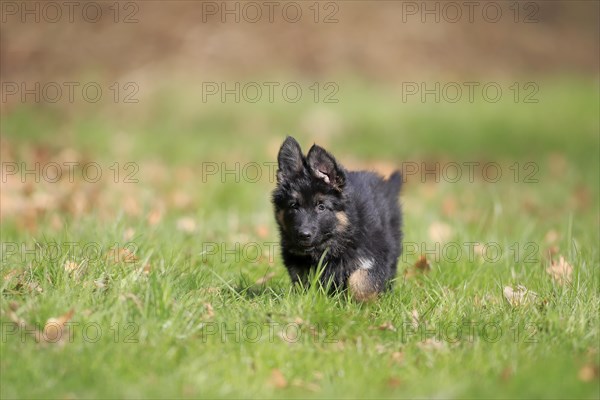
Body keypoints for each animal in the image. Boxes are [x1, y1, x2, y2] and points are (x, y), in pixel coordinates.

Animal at [274, 137, 404, 300]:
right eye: (294, 205)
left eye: (321, 207)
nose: (303, 235)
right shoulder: (296, 261)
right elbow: (304, 283)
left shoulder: (375, 254)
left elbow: (360, 281)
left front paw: (365, 302)